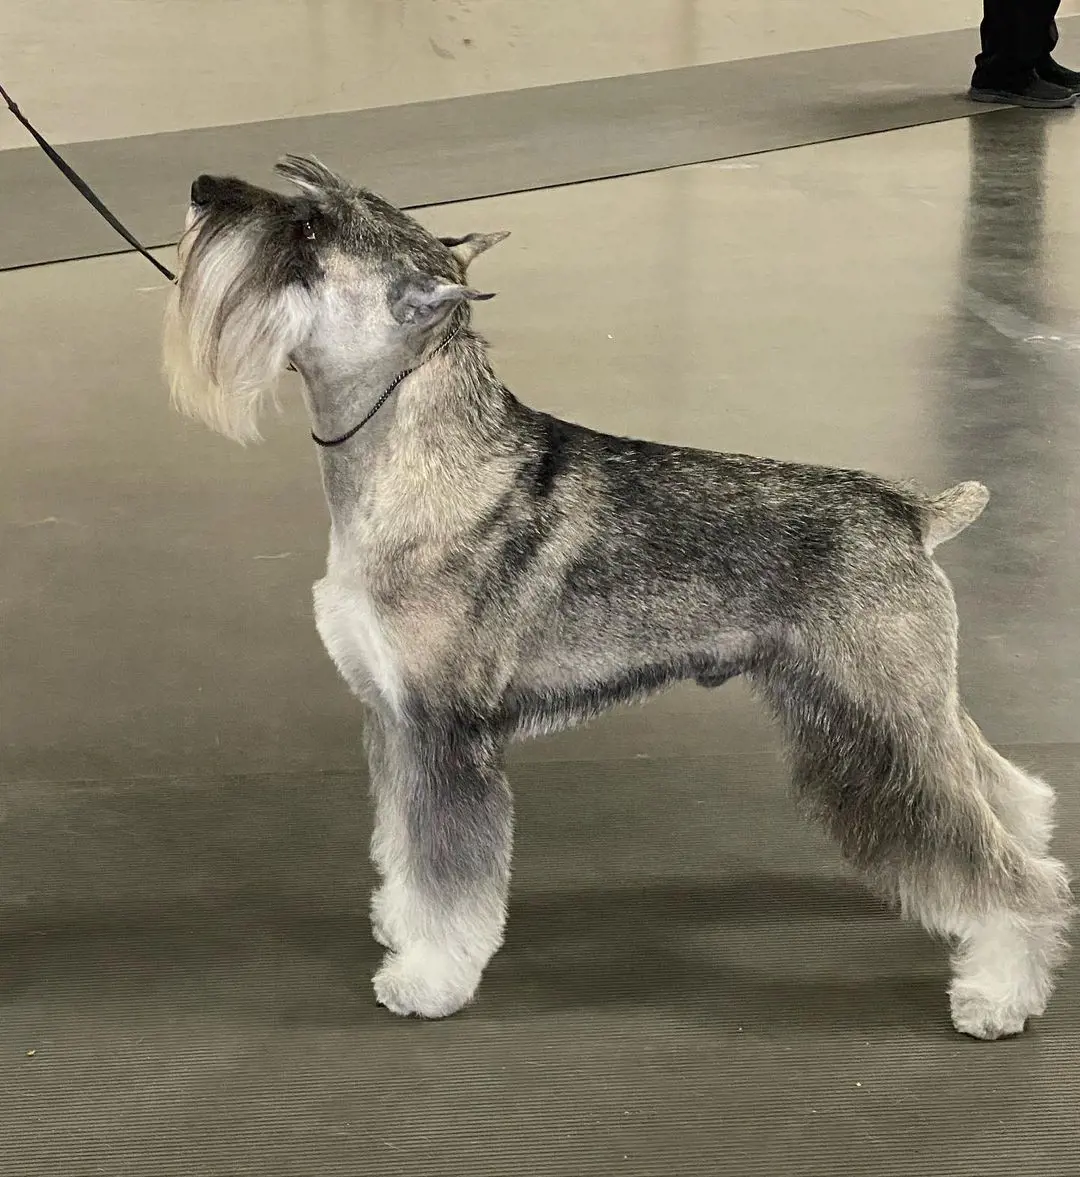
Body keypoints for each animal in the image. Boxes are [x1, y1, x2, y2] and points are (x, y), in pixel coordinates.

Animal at [167, 156, 1072, 1040]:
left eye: (308, 229)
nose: (202, 188)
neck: (414, 457)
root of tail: (913, 511)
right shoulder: (394, 721)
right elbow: (402, 839)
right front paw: (397, 920)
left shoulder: (447, 732)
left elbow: (448, 871)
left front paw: (428, 977)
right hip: (906, 703)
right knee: (1000, 790)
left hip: (879, 720)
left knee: (1001, 866)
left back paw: (1001, 990)